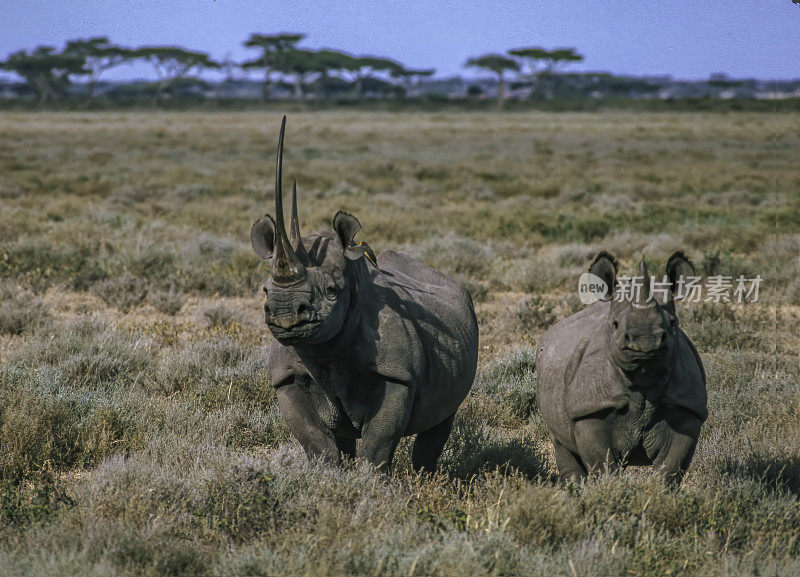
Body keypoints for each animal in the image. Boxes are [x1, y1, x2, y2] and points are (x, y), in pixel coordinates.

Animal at [252, 116, 476, 468]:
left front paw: (369, 480)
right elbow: (316, 440)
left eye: (333, 291)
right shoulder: (286, 377)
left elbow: (378, 445)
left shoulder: (397, 374)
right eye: (265, 290)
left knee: (442, 418)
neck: (324, 352)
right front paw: (329, 475)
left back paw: (426, 475)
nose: (286, 314)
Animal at [536, 251, 708, 482]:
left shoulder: (688, 408)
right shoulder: (591, 408)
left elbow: (671, 467)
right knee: (559, 439)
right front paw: (610, 488)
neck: (644, 382)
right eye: (615, 324)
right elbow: (603, 465)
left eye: (673, 322)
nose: (645, 339)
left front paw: (658, 489)